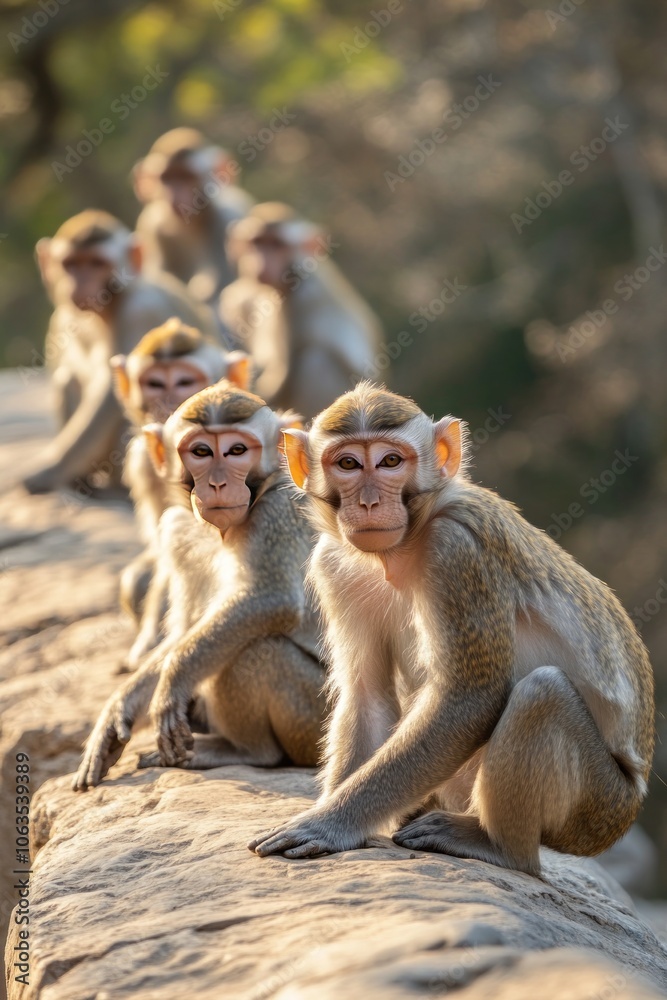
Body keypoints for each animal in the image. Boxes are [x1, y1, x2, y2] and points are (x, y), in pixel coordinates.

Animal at [24, 210, 219, 495]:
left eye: (96, 264)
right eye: (71, 264)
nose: (81, 283)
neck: (106, 310)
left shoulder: (140, 310)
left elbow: (111, 393)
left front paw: (50, 470)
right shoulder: (60, 317)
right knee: (67, 378)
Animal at [72, 381, 326, 790]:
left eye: (237, 451)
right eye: (201, 452)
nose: (218, 483)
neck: (220, 531)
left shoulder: (278, 510)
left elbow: (273, 600)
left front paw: (172, 682)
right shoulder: (178, 530)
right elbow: (184, 629)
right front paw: (118, 710)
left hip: (315, 721)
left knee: (258, 649)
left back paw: (245, 751)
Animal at [219, 202, 383, 420]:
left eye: (277, 245)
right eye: (257, 243)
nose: (261, 263)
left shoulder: (299, 304)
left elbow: (285, 373)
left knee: (315, 361)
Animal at [248, 383, 654, 877]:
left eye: (390, 461)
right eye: (347, 464)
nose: (368, 502)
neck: (404, 545)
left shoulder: (458, 549)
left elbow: (468, 699)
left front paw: (327, 823)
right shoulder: (334, 564)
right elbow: (367, 693)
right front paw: (337, 814)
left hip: (595, 809)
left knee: (543, 695)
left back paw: (498, 846)